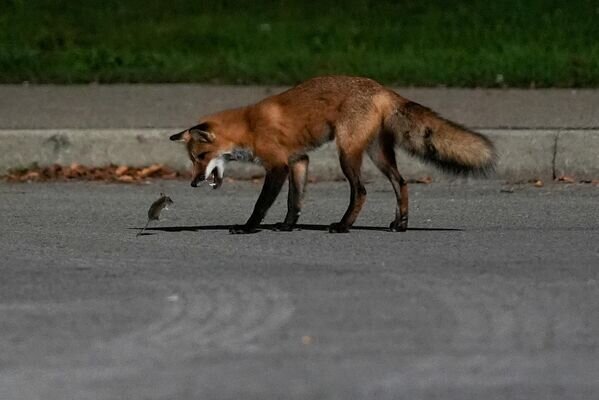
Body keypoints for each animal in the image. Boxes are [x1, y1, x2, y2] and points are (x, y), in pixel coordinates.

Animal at [170, 75, 496, 233]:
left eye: (199, 157)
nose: (193, 183)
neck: (248, 126)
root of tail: (381, 88)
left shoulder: (277, 166)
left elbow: (261, 205)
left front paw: (248, 228)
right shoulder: (298, 161)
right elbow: (294, 201)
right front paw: (287, 227)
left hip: (347, 153)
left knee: (361, 191)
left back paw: (343, 226)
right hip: (378, 154)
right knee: (401, 183)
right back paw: (400, 225)